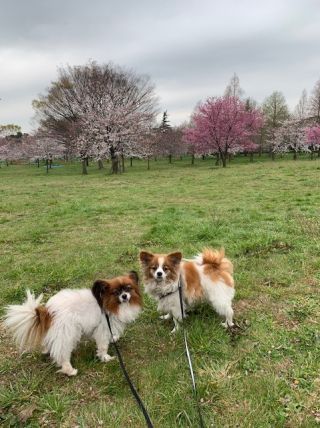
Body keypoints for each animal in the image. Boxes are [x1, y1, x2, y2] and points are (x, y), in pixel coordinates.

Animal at [3, 272, 141, 376]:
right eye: (116, 292)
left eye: (128, 288)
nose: (124, 296)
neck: (107, 304)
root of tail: (48, 311)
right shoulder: (102, 328)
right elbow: (103, 346)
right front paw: (105, 358)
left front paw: (113, 338)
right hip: (67, 333)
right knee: (62, 354)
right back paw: (70, 370)